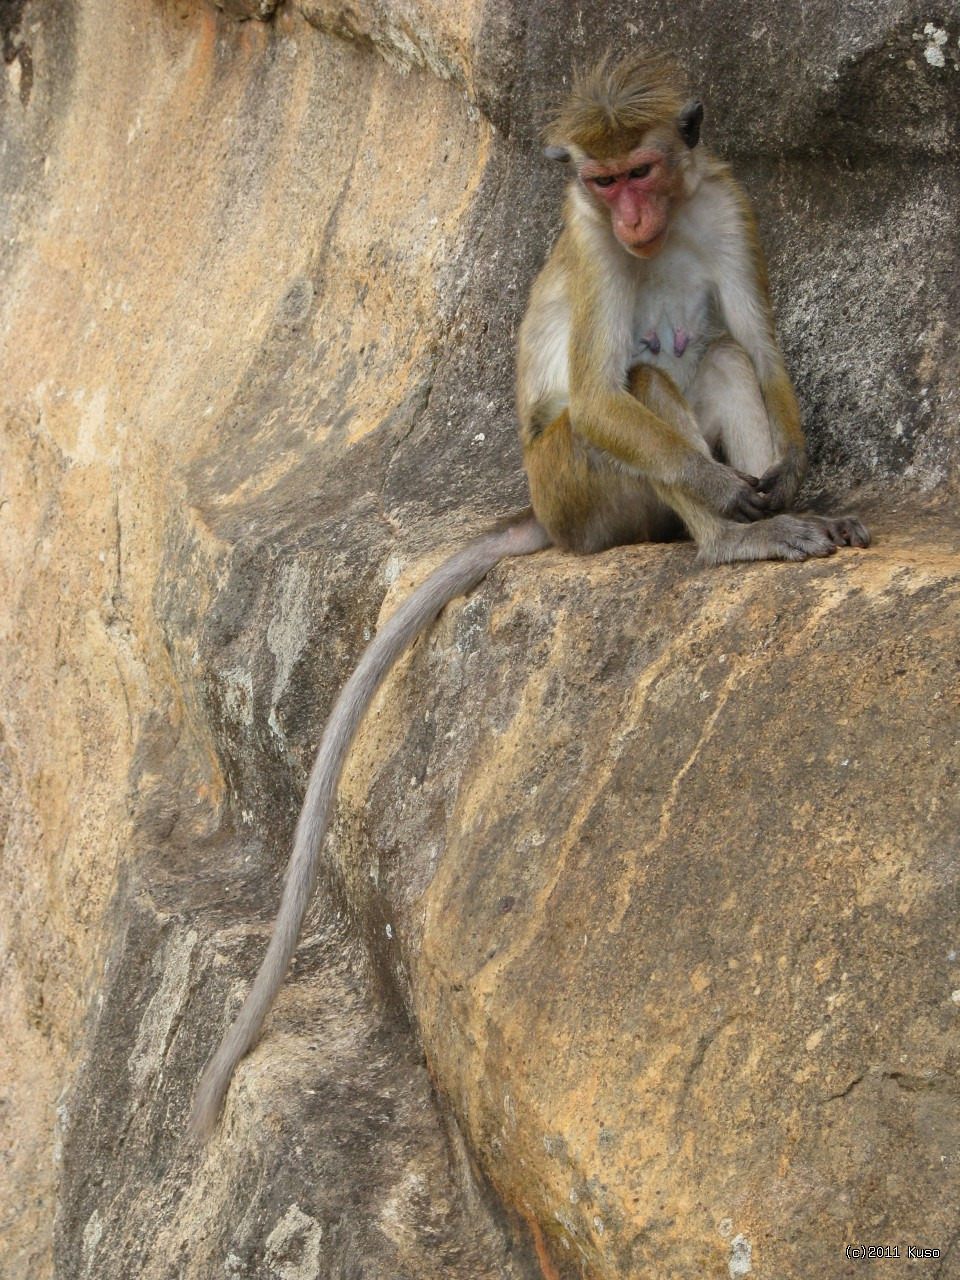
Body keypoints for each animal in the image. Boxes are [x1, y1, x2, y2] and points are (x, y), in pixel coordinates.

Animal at [189, 49, 870, 1141]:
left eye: (644, 170)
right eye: (602, 183)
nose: (629, 217)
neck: (660, 224)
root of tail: (545, 519)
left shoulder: (725, 201)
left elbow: (760, 351)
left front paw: (799, 476)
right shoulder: (586, 246)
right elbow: (598, 393)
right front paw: (733, 498)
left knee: (717, 355)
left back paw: (773, 512)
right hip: (580, 490)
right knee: (640, 385)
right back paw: (730, 539)